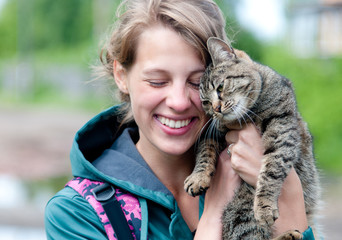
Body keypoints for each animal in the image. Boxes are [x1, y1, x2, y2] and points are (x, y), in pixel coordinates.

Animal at [184, 37, 320, 240]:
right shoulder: (212, 132)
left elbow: (272, 168)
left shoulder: (282, 127)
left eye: (220, 87)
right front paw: (197, 177)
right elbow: (204, 152)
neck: (246, 117)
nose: (216, 109)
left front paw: (264, 206)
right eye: (206, 103)